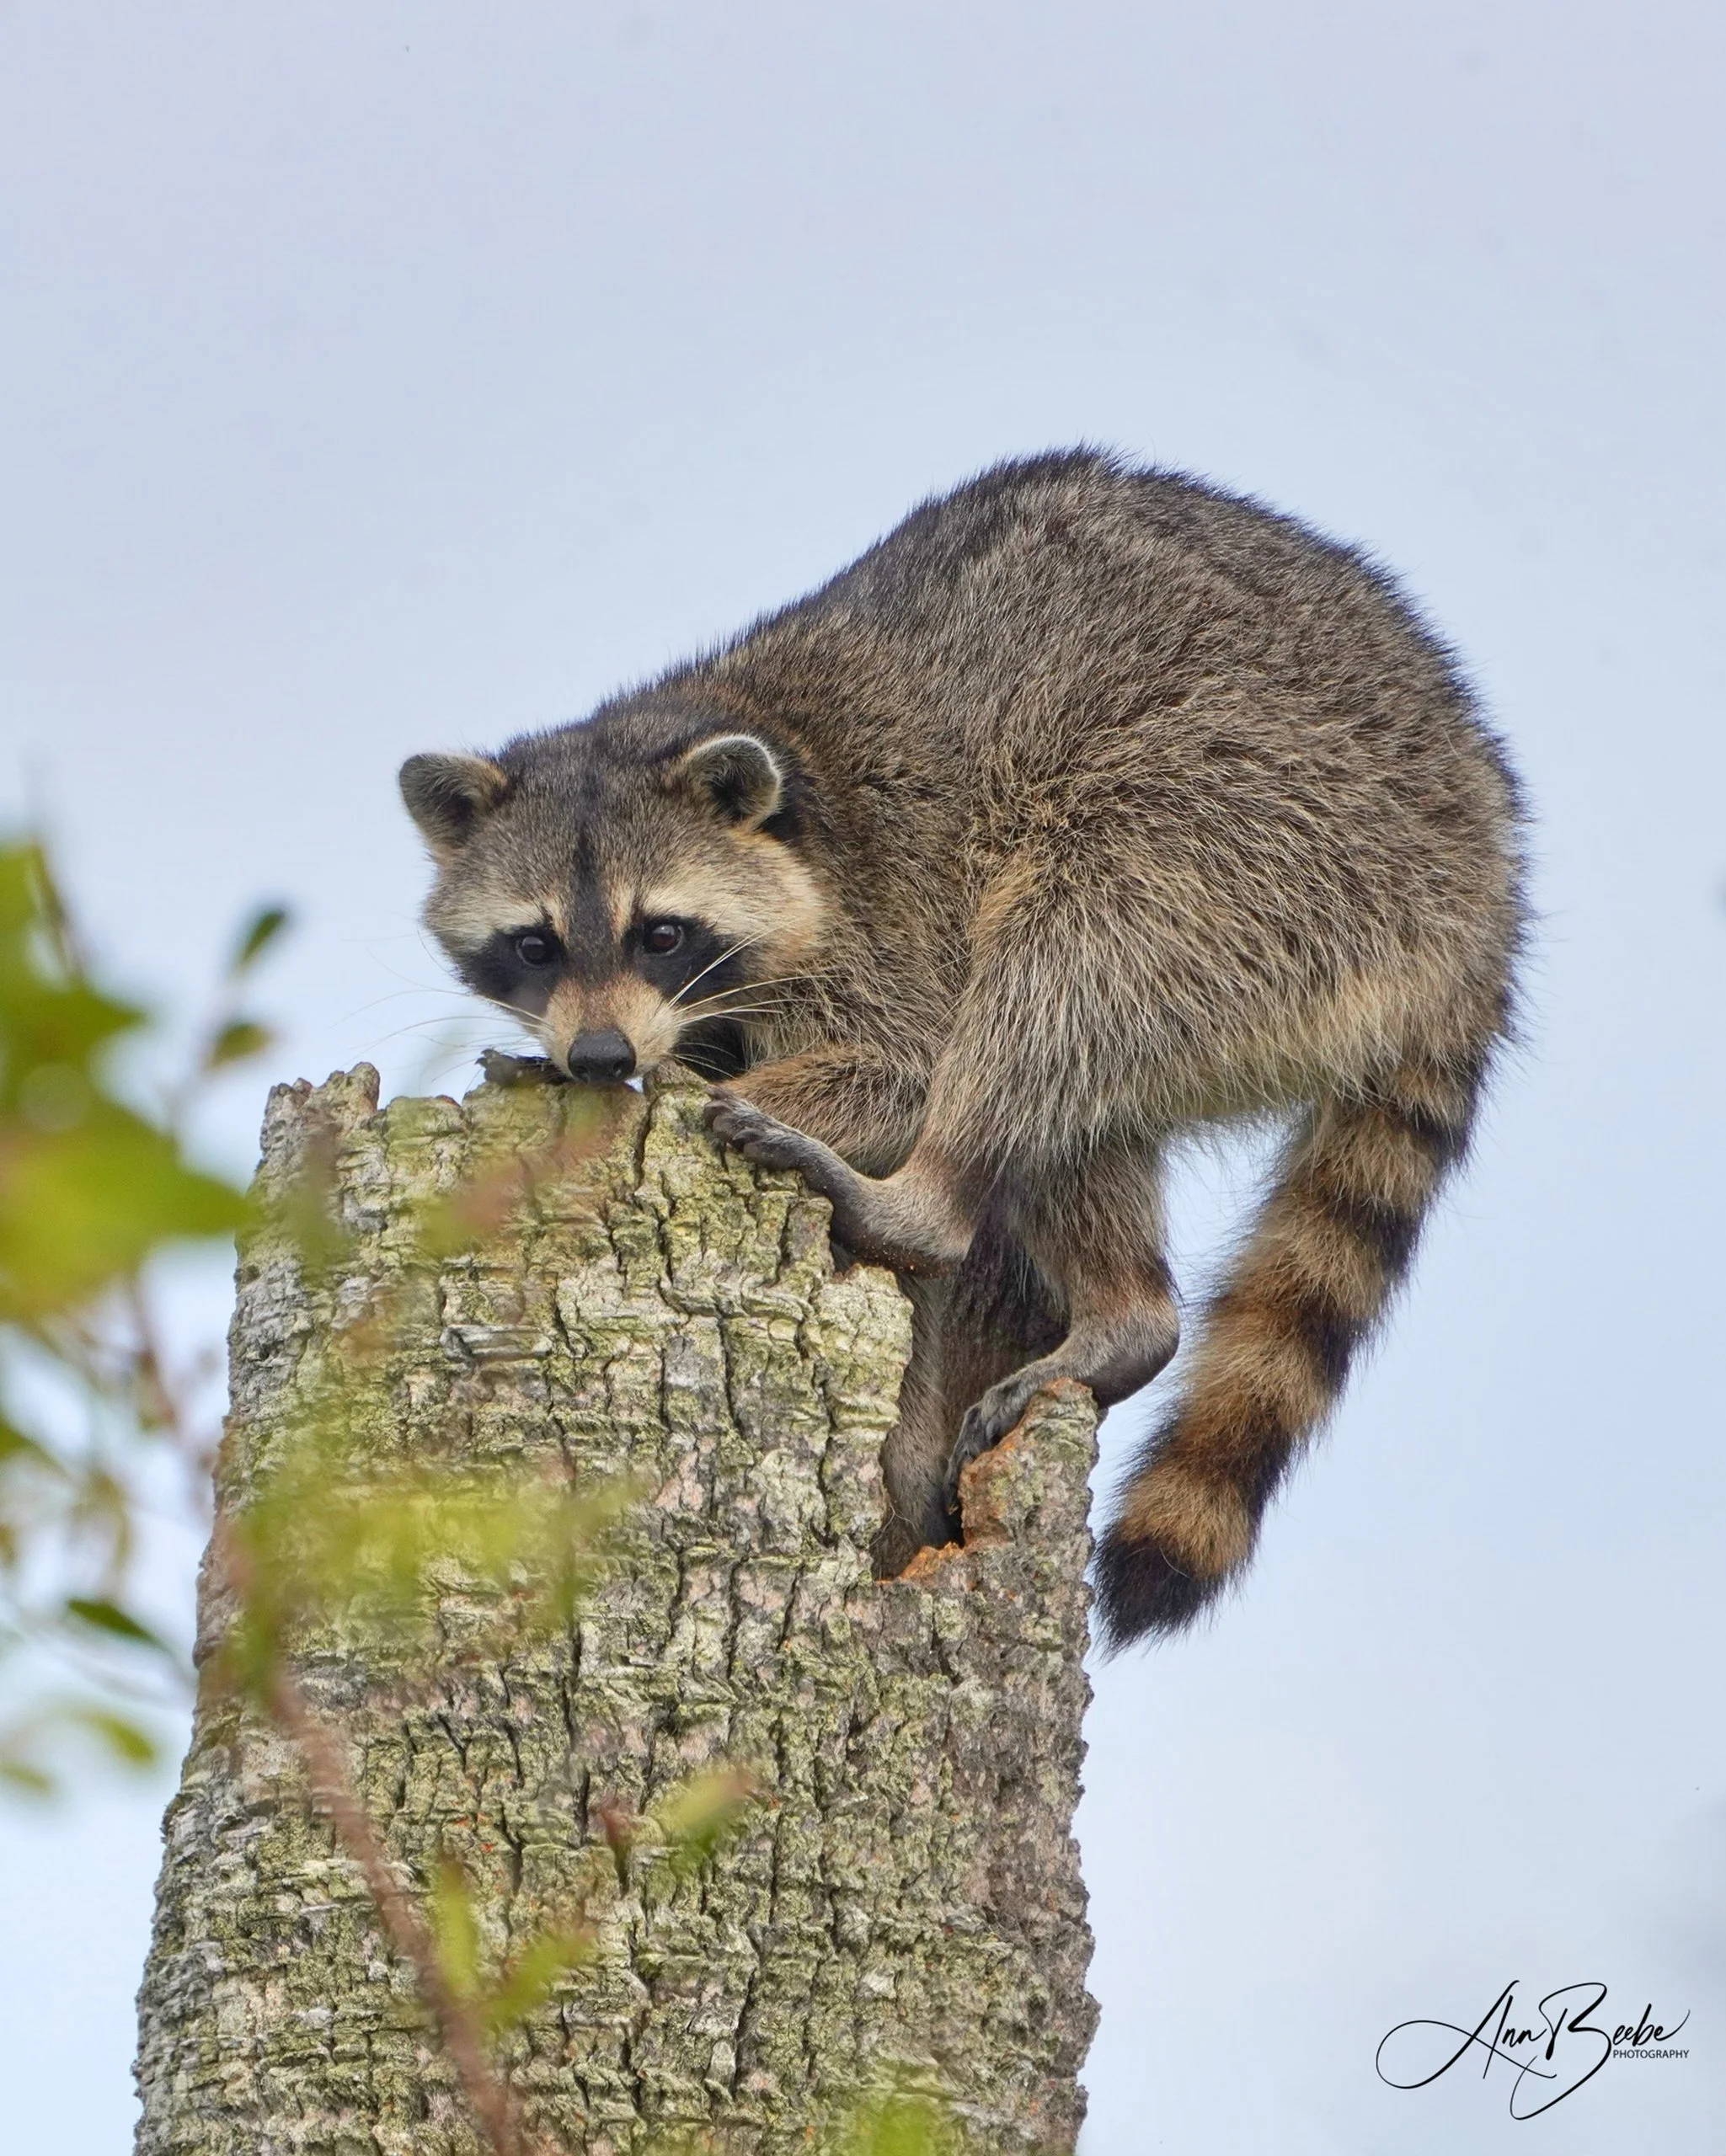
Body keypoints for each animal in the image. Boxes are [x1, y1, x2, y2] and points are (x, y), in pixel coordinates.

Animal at [401, 450, 1525, 1646]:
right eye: (534, 943)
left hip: (1267, 828)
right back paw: (1126, 1308)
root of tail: (1489, 885)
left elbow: (910, 1064)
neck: (763, 740)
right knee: (1089, 1110)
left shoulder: (887, 912)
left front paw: (693, 1091)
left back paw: (923, 1201)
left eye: (660, 932)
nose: (603, 1058)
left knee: (1060, 965)